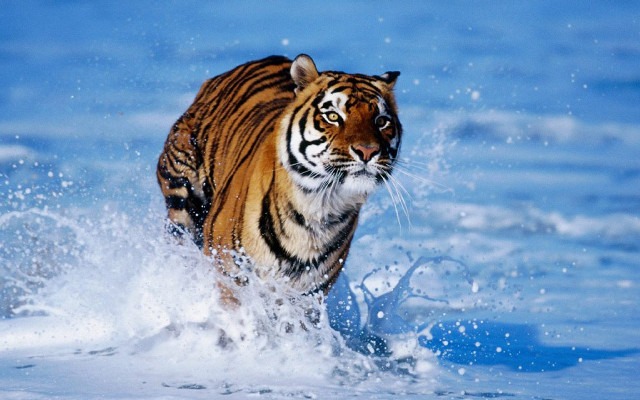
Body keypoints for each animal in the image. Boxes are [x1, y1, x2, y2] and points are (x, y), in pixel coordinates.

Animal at [157, 54, 402, 297]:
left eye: (381, 121)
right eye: (333, 116)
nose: (368, 151)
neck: (319, 208)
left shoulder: (308, 294)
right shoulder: (229, 273)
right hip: (182, 197)